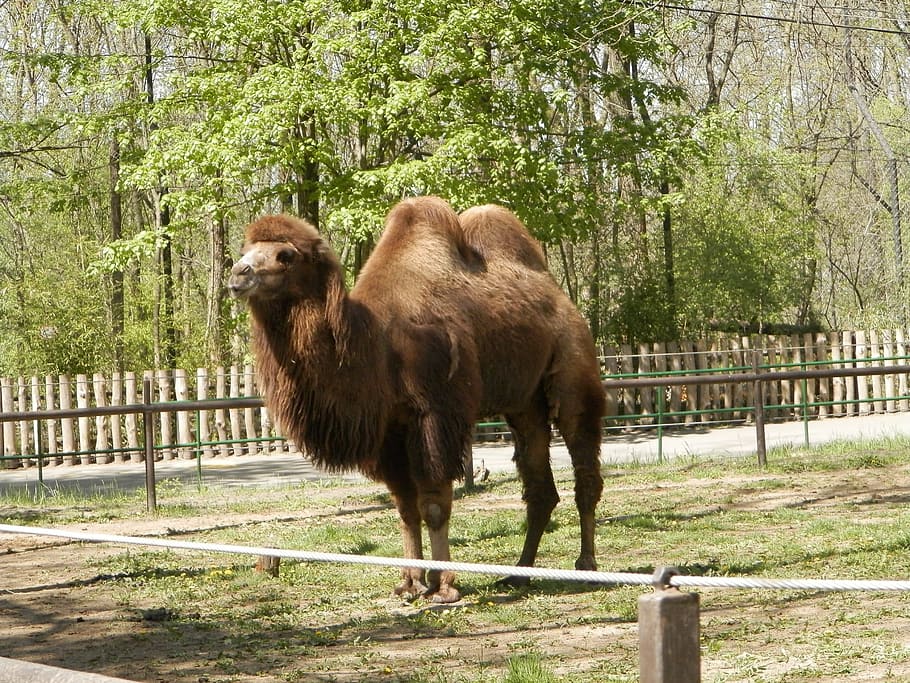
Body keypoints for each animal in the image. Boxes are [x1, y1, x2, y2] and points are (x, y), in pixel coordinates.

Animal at [228, 196, 605, 603]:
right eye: (245, 249)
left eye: (285, 255)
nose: (238, 275)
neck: (377, 345)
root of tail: (560, 296)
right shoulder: (389, 432)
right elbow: (406, 508)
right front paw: (411, 583)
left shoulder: (435, 415)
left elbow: (434, 503)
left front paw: (445, 587)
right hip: (524, 404)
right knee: (540, 487)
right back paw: (519, 573)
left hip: (573, 365)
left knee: (583, 464)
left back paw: (587, 566)